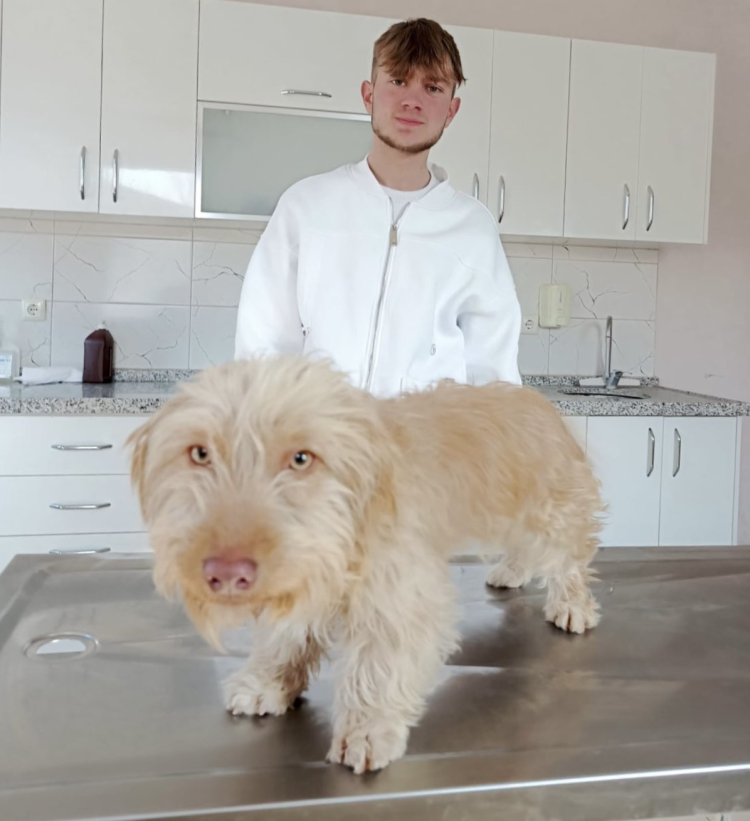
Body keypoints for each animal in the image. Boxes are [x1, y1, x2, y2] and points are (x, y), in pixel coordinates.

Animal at [127, 355, 603, 774]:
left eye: (301, 458)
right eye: (200, 454)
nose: (225, 572)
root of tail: (534, 397)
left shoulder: (400, 590)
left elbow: (381, 660)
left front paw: (368, 727)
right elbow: (286, 636)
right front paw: (268, 681)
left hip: (551, 512)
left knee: (568, 558)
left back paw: (572, 604)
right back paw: (512, 571)